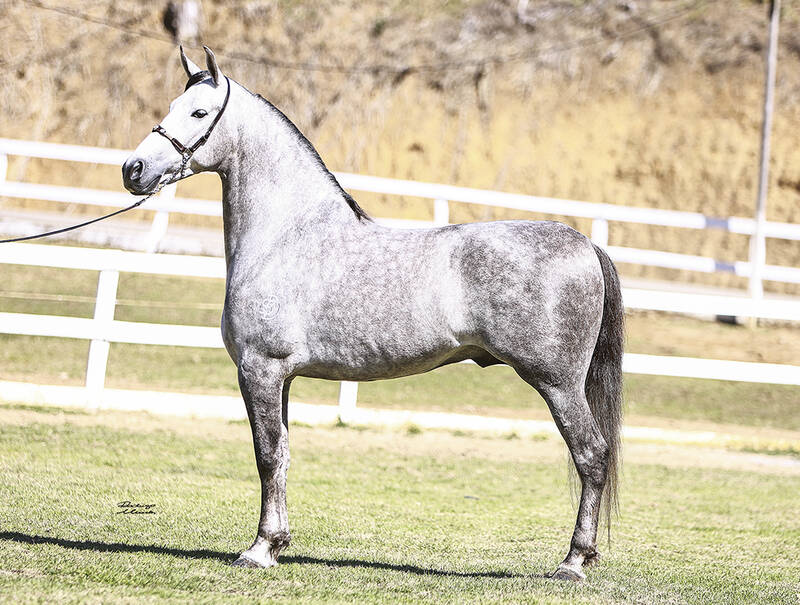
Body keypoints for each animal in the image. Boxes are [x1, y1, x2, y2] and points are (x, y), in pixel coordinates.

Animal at [125, 48, 624, 580]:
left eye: (198, 112)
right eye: (172, 105)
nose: (133, 169)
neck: (287, 236)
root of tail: (585, 243)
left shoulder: (260, 369)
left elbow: (266, 456)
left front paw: (259, 550)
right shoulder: (282, 378)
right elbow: (283, 455)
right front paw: (277, 543)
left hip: (558, 384)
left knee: (592, 457)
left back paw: (573, 561)